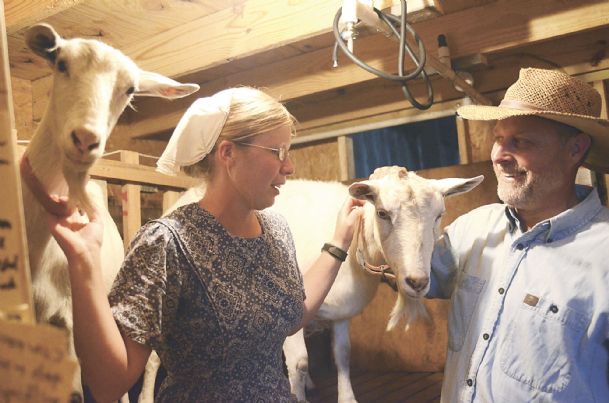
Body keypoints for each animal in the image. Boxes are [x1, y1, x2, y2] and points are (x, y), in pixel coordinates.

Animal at [141, 166, 480, 402]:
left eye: (439, 214)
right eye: (383, 213)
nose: (418, 281)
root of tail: (188, 193)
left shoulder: (341, 314)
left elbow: (342, 355)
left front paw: (346, 397)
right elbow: (301, 362)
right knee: (156, 359)